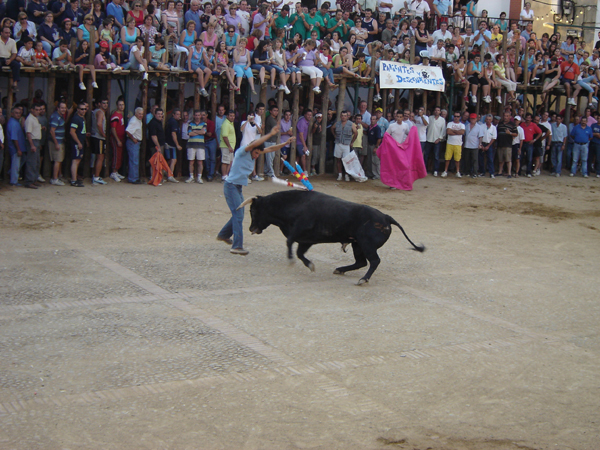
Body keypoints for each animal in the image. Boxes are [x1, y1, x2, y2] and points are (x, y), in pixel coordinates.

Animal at [237, 191, 424, 284]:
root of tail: (386, 217)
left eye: (253, 210)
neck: (293, 204)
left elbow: (289, 242)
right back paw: (340, 269)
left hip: (366, 245)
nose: (251, 228)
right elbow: (299, 252)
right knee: (361, 262)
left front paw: (291, 260)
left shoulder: (299, 232)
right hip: (357, 245)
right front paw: (310, 265)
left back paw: (363, 279)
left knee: (374, 261)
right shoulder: (306, 240)